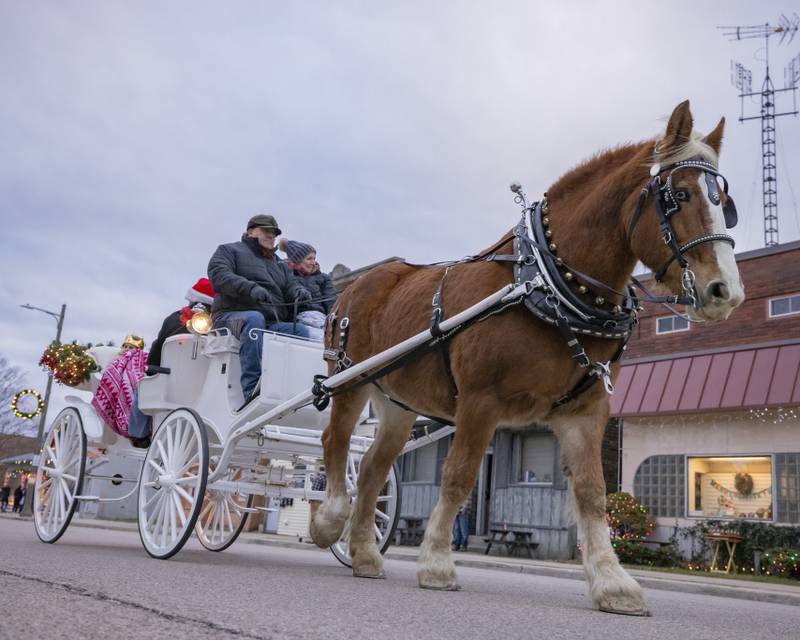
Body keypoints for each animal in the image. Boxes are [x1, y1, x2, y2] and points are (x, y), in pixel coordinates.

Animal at [309, 100, 744, 615]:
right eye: (679, 194)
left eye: (726, 204)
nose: (726, 292)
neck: (546, 283)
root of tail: (358, 284)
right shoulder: (479, 400)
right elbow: (458, 476)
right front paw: (436, 563)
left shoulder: (586, 410)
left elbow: (593, 492)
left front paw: (613, 582)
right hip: (350, 380)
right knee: (336, 442)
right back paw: (329, 521)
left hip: (396, 401)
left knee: (374, 468)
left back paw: (363, 553)